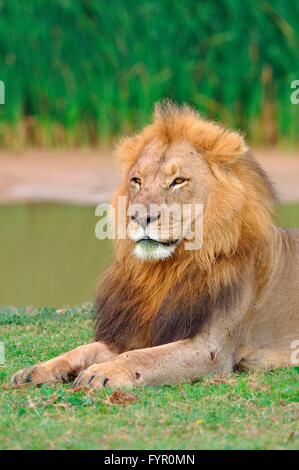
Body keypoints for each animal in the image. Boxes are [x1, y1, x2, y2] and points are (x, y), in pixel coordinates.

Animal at [11, 101, 299, 388]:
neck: (164, 270)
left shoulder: (211, 350)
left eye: (178, 181)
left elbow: (142, 357)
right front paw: (37, 370)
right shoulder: (134, 331)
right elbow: (84, 349)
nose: (138, 216)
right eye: (137, 181)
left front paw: (101, 372)